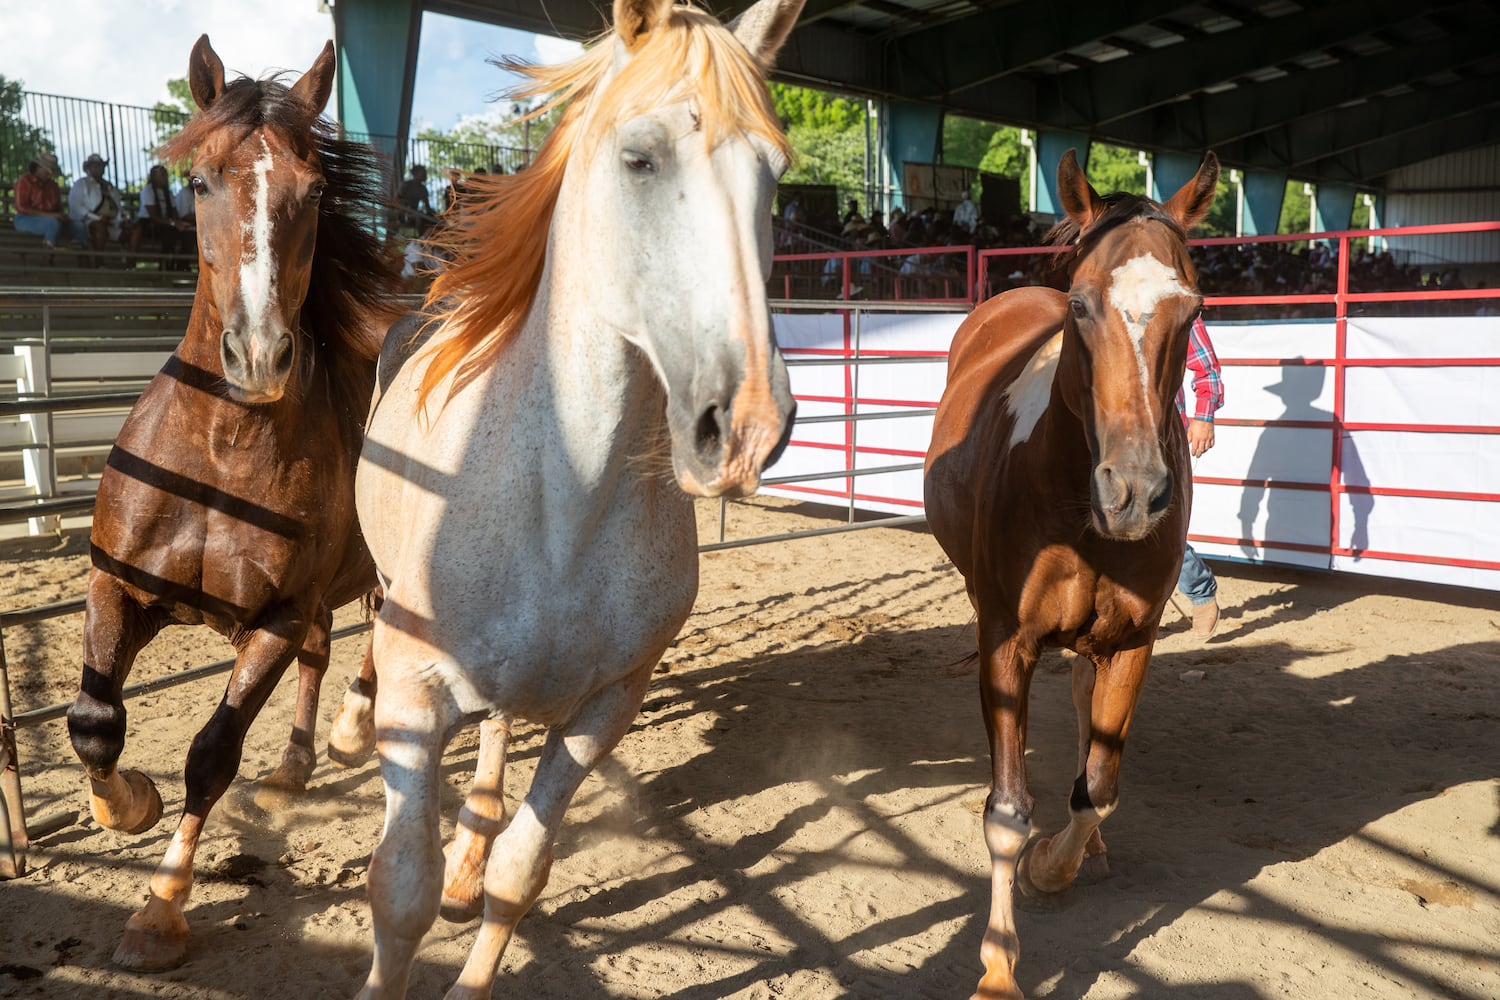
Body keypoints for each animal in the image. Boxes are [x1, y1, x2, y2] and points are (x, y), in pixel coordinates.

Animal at [64, 37, 399, 971]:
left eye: (315, 189)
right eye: (202, 181)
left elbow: (212, 756)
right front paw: (124, 804)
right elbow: (94, 722)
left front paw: (158, 914)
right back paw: (291, 771)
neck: (218, 449)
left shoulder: (274, 618)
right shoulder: (117, 586)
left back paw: (352, 730)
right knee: (326, 652)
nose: (257, 355)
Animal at [351, 0, 804, 995]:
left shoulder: (604, 709)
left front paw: (479, 908)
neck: (564, 506)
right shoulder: (418, 697)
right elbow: (399, 888)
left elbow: (521, 872)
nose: (746, 425)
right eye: (639, 159)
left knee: (495, 753)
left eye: (776, 177)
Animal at [924, 150, 1218, 1000]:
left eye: (1191, 309)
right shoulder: (1006, 642)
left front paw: (1056, 865)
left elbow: (1099, 787)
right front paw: (997, 969)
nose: (1136, 491)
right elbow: (1005, 813)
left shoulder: (1133, 643)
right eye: (1083, 306)